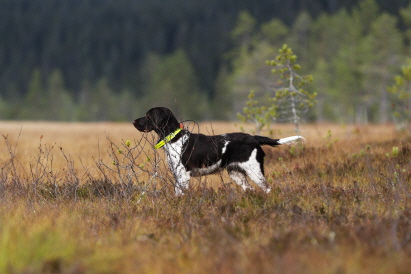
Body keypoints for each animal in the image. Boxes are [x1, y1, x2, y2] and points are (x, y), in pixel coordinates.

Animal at [134, 107, 304, 195]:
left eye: (148, 116)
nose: (134, 121)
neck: (175, 138)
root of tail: (254, 138)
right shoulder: (177, 176)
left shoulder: (182, 176)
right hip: (236, 173)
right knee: (249, 189)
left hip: (254, 171)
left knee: (267, 188)